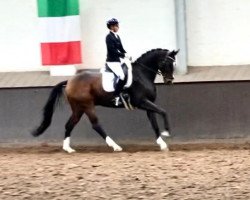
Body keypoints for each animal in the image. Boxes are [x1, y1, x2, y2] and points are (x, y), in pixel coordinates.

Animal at [32, 48, 179, 152]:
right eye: (166, 62)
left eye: (174, 63)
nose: (169, 81)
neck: (142, 75)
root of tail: (69, 81)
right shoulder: (142, 102)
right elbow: (163, 111)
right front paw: (166, 132)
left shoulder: (148, 104)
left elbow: (154, 123)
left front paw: (162, 144)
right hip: (87, 105)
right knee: (95, 124)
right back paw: (115, 146)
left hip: (78, 108)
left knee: (70, 124)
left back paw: (68, 148)